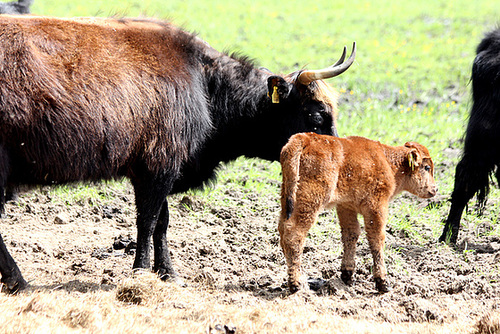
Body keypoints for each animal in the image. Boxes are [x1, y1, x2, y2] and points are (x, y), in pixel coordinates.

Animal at [0, 15, 356, 292]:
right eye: (316, 116)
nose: (342, 165)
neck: (203, 81)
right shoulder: (157, 166)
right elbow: (148, 221)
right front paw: (141, 272)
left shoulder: (161, 168)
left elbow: (162, 222)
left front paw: (167, 272)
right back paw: (17, 279)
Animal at [280, 133, 436, 292]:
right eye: (427, 167)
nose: (434, 189)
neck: (389, 162)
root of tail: (303, 138)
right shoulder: (376, 206)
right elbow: (377, 238)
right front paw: (383, 282)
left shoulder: (346, 206)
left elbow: (351, 234)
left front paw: (347, 275)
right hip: (310, 201)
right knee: (294, 234)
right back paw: (296, 284)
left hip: (287, 197)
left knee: (282, 230)